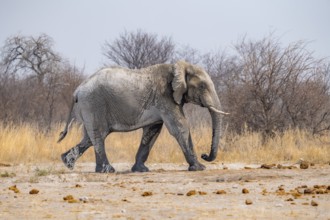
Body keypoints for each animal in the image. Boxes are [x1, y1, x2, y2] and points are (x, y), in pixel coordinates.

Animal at [58, 60, 228, 174]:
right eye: (202, 86)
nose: (205, 155)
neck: (179, 66)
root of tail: (77, 91)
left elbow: (152, 131)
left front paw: (141, 170)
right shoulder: (165, 98)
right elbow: (180, 128)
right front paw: (199, 168)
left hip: (89, 108)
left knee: (90, 137)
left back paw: (69, 163)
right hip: (93, 104)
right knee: (99, 135)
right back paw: (108, 170)